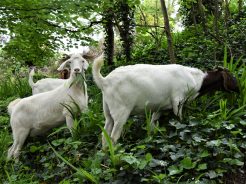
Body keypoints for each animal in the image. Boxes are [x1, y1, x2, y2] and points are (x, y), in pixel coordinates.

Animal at [92, 54, 238, 147]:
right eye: (231, 76)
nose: (239, 89)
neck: (195, 79)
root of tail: (104, 81)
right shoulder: (177, 100)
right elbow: (179, 120)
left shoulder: (160, 108)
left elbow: (152, 124)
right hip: (121, 112)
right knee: (113, 137)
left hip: (108, 112)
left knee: (104, 135)